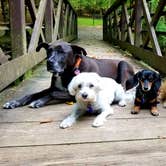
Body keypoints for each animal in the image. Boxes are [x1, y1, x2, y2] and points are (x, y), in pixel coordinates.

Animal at [2, 41, 135, 109]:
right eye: (48, 51)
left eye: (62, 52)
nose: (49, 62)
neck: (66, 72)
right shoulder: (53, 87)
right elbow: (34, 93)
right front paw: (15, 102)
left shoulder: (75, 94)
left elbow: (53, 93)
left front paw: (39, 101)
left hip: (123, 64)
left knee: (122, 87)